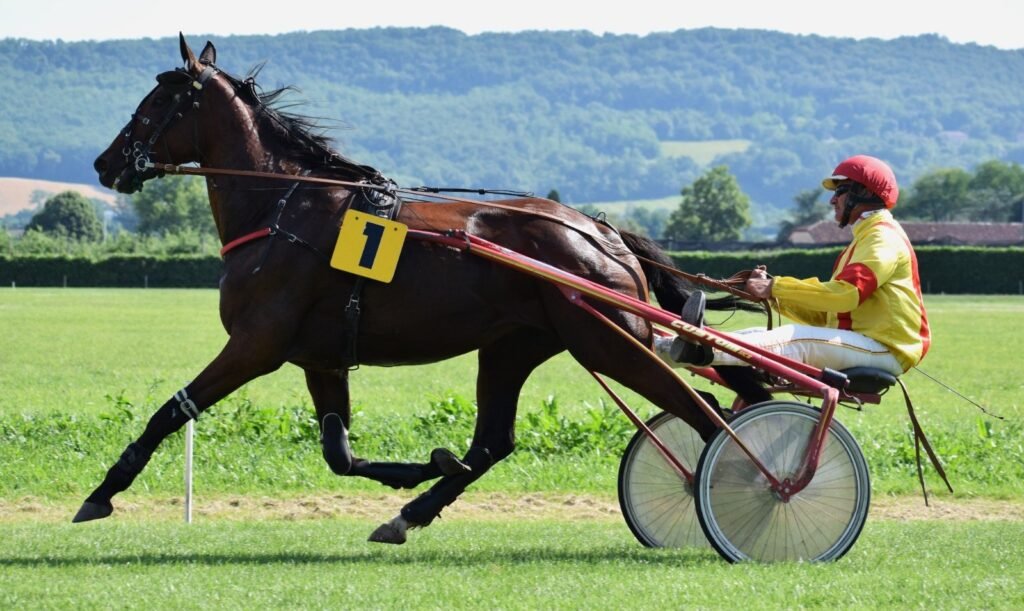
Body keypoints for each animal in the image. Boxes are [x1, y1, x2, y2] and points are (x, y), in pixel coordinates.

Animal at [79, 34, 741, 544]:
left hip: (609, 340)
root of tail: (601, 231)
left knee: (705, 410)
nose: (105, 163)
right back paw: (409, 514)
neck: (281, 208)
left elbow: (171, 411)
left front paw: (103, 492)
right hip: (514, 346)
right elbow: (340, 454)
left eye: (154, 102)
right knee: (493, 443)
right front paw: (422, 467)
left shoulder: (255, 344)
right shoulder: (320, 357)